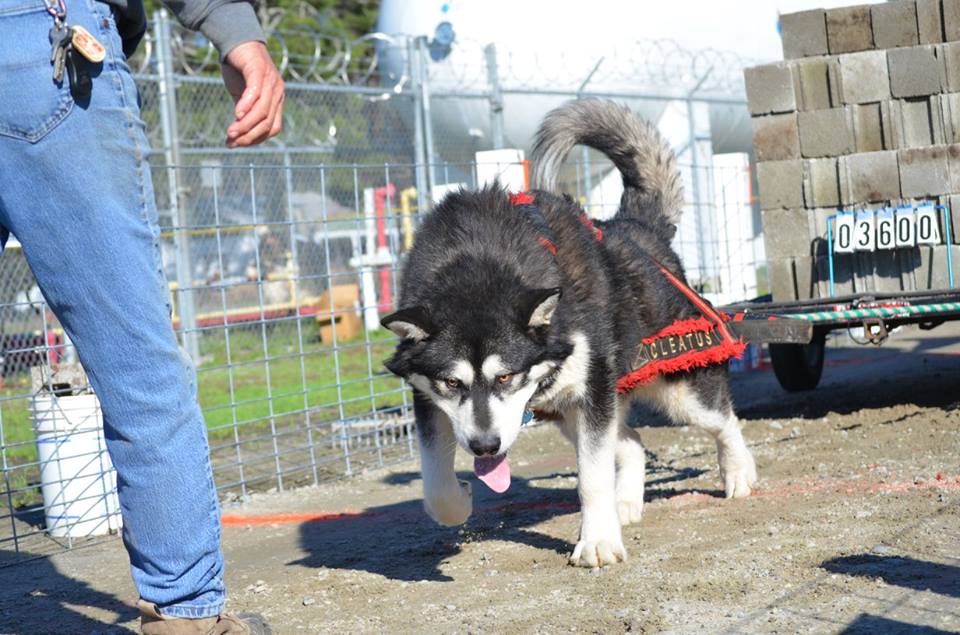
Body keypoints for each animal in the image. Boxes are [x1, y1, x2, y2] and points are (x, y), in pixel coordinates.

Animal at [382, 100, 756, 572]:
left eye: (506, 377)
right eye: (452, 382)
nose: (485, 447)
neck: (477, 261)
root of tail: (634, 227)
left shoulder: (592, 389)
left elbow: (591, 477)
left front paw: (597, 541)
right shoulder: (428, 399)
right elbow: (434, 486)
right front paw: (457, 502)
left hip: (676, 389)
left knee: (723, 420)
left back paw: (739, 471)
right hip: (566, 411)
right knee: (632, 443)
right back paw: (625, 502)